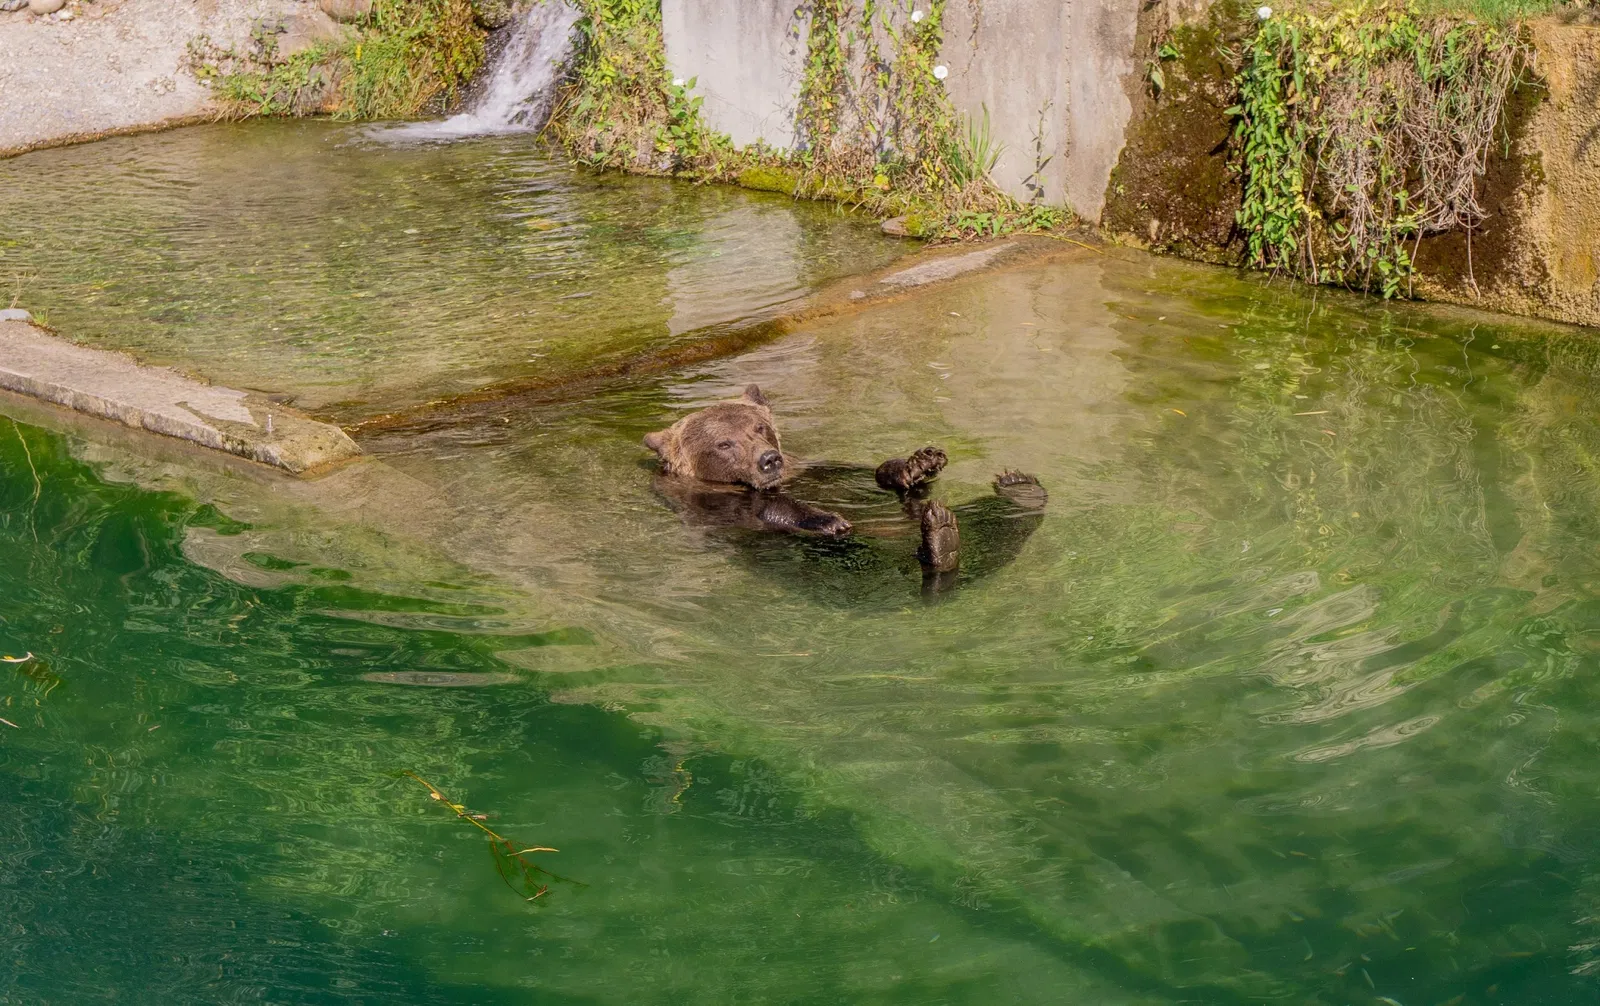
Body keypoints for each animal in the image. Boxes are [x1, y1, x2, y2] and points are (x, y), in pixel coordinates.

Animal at [642, 385, 1046, 599]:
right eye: (724, 444)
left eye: (758, 427)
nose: (768, 459)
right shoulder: (707, 504)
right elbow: (761, 510)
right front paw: (830, 519)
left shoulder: (810, 466)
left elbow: (867, 477)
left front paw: (918, 463)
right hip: (838, 563)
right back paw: (941, 544)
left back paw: (1018, 491)